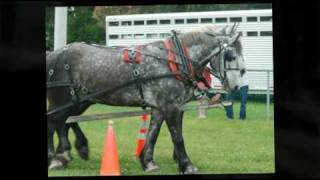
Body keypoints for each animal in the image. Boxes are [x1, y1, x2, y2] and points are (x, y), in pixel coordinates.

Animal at [47, 24, 245, 174]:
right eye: (231, 56)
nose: (236, 87)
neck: (175, 60)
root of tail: (53, 55)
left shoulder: (161, 107)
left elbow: (153, 134)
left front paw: (148, 162)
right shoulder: (170, 106)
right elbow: (177, 137)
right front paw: (187, 165)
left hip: (79, 100)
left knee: (63, 122)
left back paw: (68, 152)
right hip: (64, 99)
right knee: (54, 122)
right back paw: (55, 157)